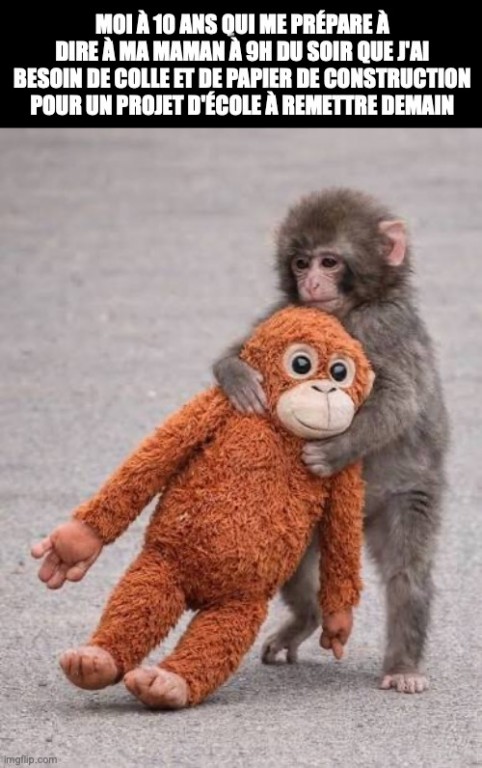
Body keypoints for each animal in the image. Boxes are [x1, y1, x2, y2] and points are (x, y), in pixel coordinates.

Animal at [213, 188, 449, 694]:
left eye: (330, 261)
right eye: (300, 262)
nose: (312, 283)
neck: (348, 311)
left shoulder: (385, 325)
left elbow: (399, 399)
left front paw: (334, 451)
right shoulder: (287, 315)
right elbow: (243, 350)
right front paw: (237, 375)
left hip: (405, 497)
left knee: (407, 573)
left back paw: (403, 665)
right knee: (294, 563)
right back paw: (308, 617)